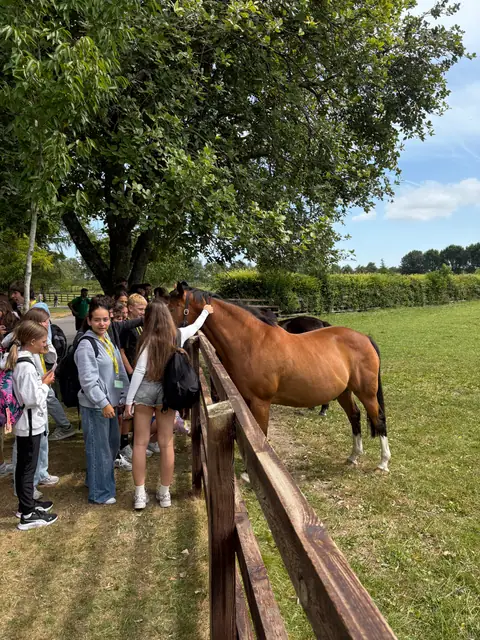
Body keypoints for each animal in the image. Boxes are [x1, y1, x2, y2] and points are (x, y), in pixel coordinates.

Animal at [169, 283, 391, 471]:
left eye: (171, 308)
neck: (252, 342)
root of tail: (365, 338)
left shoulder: (261, 402)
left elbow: (261, 434)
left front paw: (249, 474)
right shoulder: (247, 400)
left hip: (367, 393)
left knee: (378, 418)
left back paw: (383, 463)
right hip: (344, 392)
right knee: (355, 416)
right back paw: (353, 456)